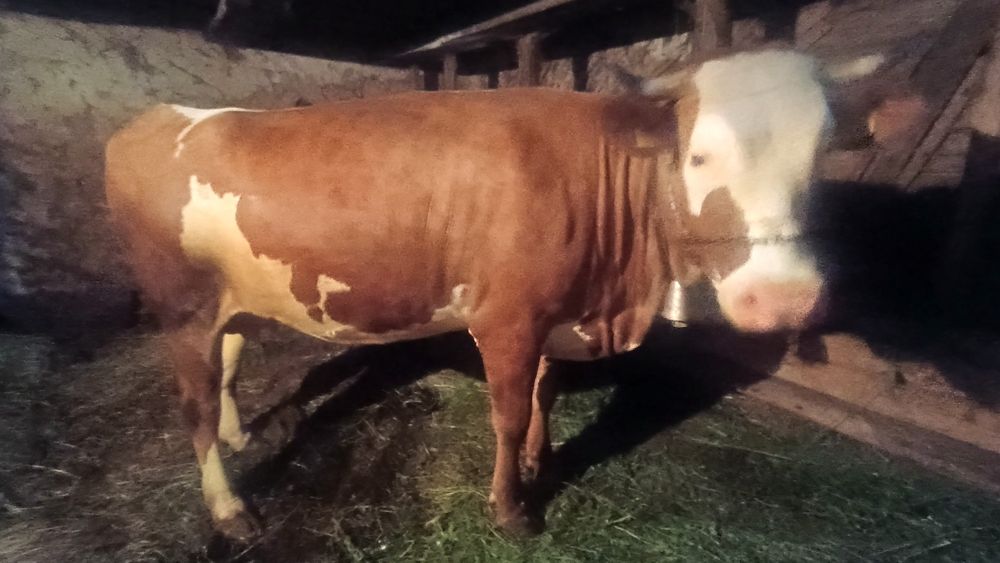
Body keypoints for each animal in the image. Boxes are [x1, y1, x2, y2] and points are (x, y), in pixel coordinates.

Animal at [104, 48, 920, 540]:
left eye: (822, 156)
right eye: (698, 156)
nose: (784, 301)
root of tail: (159, 116)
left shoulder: (560, 315)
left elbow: (545, 394)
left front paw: (541, 460)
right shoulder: (507, 319)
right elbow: (506, 411)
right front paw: (511, 509)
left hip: (233, 296)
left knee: (232, 357)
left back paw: (242, 435)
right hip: (180, 306)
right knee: (194, 404)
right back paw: (228, 506)